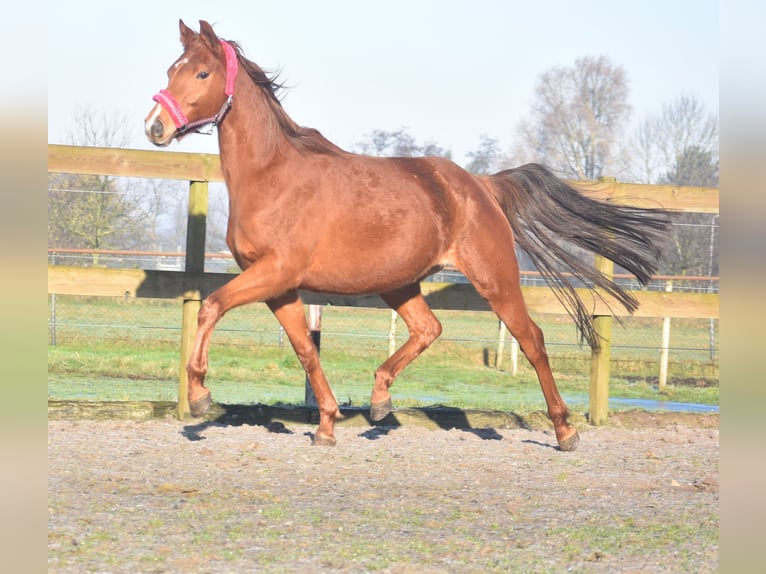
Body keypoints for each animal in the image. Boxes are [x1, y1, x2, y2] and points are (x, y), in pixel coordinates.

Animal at [147, 20, 668, 452]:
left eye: (201, 74)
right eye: (172, 68)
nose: (156, 127)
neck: (272, 175)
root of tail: (482, 186)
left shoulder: (275, 272)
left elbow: (212, 306)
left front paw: (199, 394)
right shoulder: (279, 285)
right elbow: (305, 351)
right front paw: (327, 425)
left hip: (495, 278)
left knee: (531, 339)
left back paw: (565, 431)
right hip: (399, 282)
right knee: (428, 328)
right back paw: (379, 400)